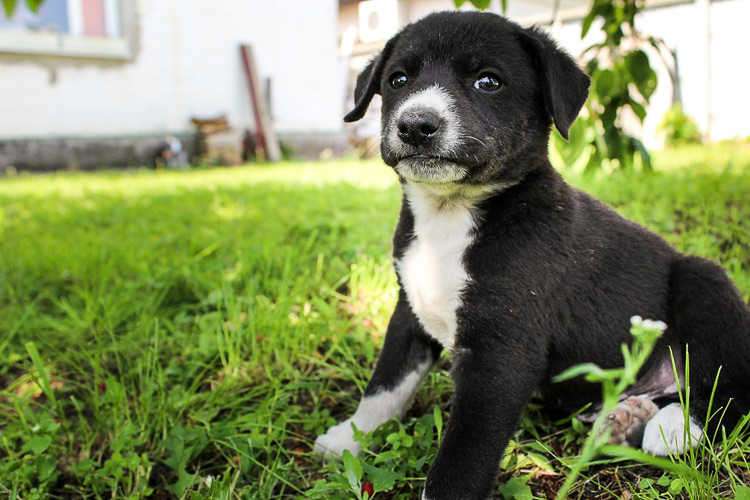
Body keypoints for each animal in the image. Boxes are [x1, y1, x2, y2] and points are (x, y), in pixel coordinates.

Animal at [314, 11, 748, 500]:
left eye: (488, 81)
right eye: (398, 79)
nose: (415, 125)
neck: (453, 216)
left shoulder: (501, 353)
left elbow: (464, 450)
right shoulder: (409, 312)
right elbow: (386, 383)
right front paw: (350, 437)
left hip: (707, 282)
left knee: (730, 388)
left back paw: (675, 425)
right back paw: (625, 419)